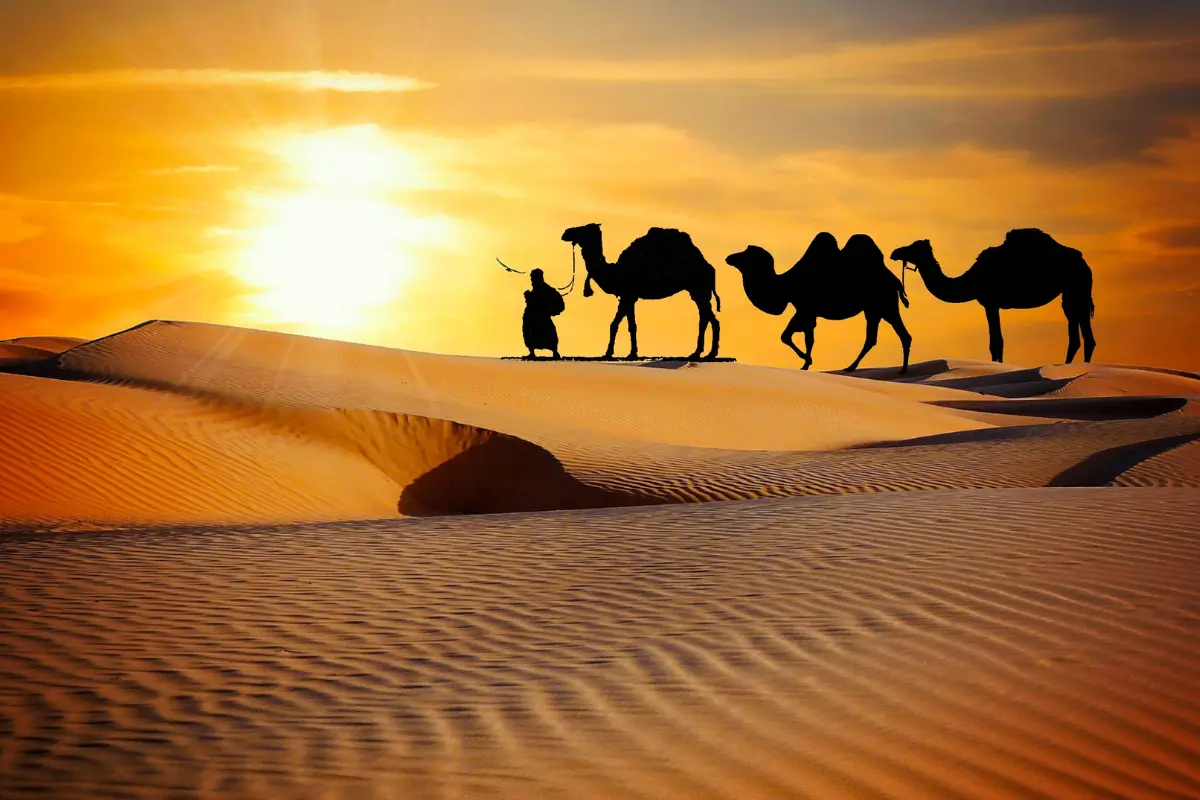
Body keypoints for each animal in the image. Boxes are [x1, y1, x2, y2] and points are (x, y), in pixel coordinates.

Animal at [561, 223, 720, 359]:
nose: (566, 232)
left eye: (585, 228)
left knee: (707, 318)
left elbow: (618, 324)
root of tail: (709, 267)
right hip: (698, 290)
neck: (615, 272)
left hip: (698, 288)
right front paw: (628, 353)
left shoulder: (627, 295)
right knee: (708, 317)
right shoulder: (630, 297)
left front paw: (612, 353)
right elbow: (628, 325)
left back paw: (701, 353)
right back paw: (706, 353)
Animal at [725, 232, 912, 373]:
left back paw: (897, 370)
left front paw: (806, 359)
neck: (785, 284)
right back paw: (854, 367)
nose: (729, 257)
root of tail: (895, 281)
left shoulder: (804, 309)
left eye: (745, 253)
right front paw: (806, 364)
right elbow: (808, 339)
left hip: (884, 305)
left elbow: (786, 336)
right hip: (874, 309)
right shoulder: (809, 313)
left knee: (896, 335)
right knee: (876, 338)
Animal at [889, 228, 1096, 363]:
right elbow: (995, 342)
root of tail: (1084, 263)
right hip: (1071, 293)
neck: (973, 278)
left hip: (1078, 287)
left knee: (1086, 336)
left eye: (913, 247)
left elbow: (996, 342)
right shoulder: (990, 304)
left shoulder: (990, 302)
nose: (894, 252)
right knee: (1076, 333)